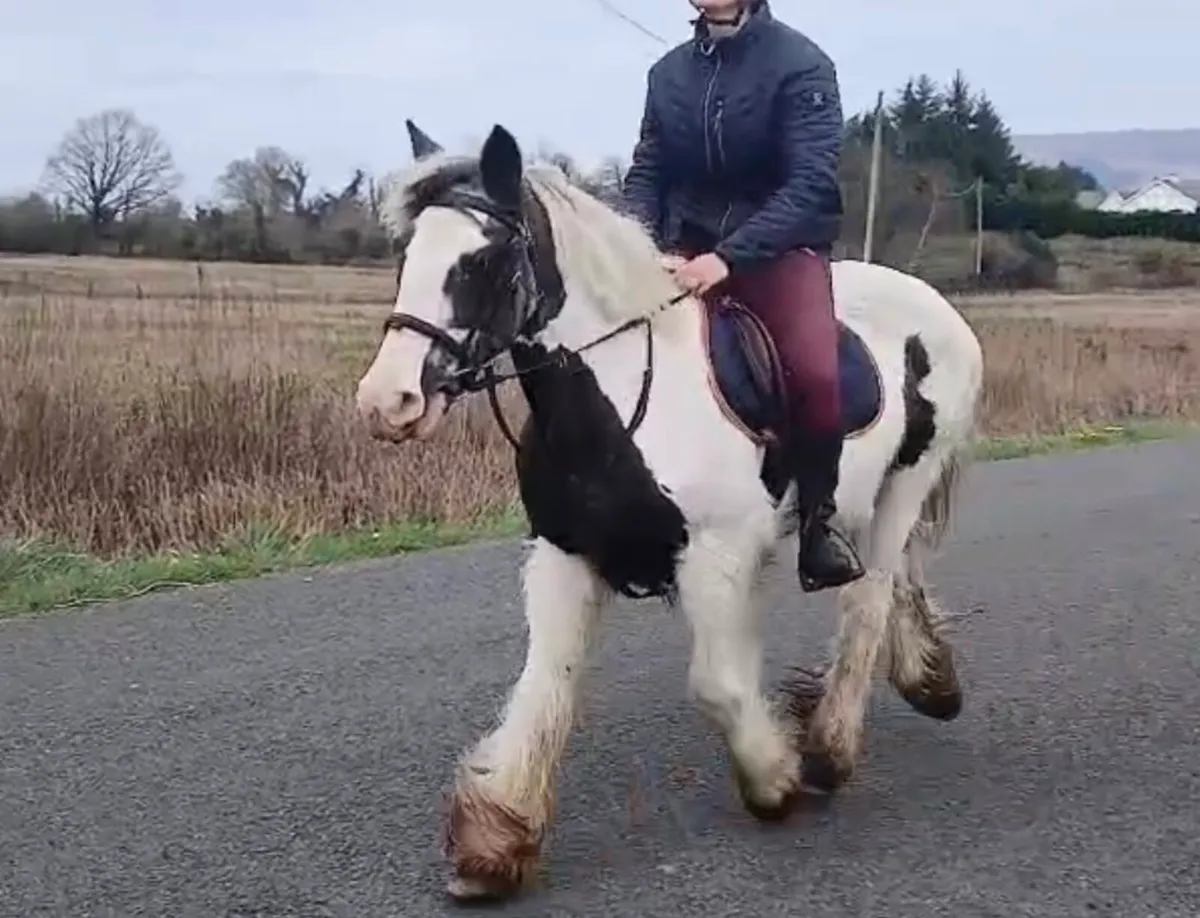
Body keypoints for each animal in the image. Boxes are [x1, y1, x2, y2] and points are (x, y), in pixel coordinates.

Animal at [355, 119, 985, 901]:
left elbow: (718, 685)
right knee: (895, 580)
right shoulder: (564, 554)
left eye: (485, 260)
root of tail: (934, 303)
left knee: (867, 599)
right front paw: (494, 843)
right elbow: (543, 689)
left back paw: (831, 750)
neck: (621, 393)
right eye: (407, 253)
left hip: (906, 483)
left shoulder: (713, 555)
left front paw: (774, 779)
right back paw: (926, 681)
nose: (387, 402)